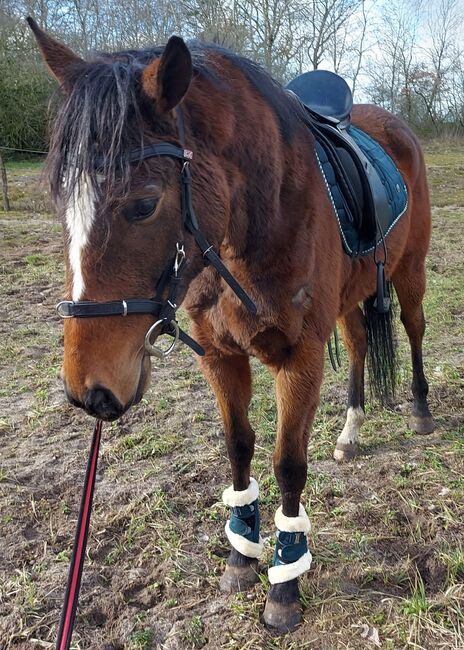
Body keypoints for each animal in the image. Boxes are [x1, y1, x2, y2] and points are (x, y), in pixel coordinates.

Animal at [29, 19, 436, 628]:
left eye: (144, 204)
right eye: (62, 202)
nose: (88, 392)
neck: (262, 214)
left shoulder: (300, 357)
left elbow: (288, 463)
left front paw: (285, 582)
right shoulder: (220, 356)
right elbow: (238, 446)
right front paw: (242, 554)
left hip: (408, 276)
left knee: (413, 330)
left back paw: (420, 409)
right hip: (351, 297)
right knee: (361, 344)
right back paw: (350, 432)